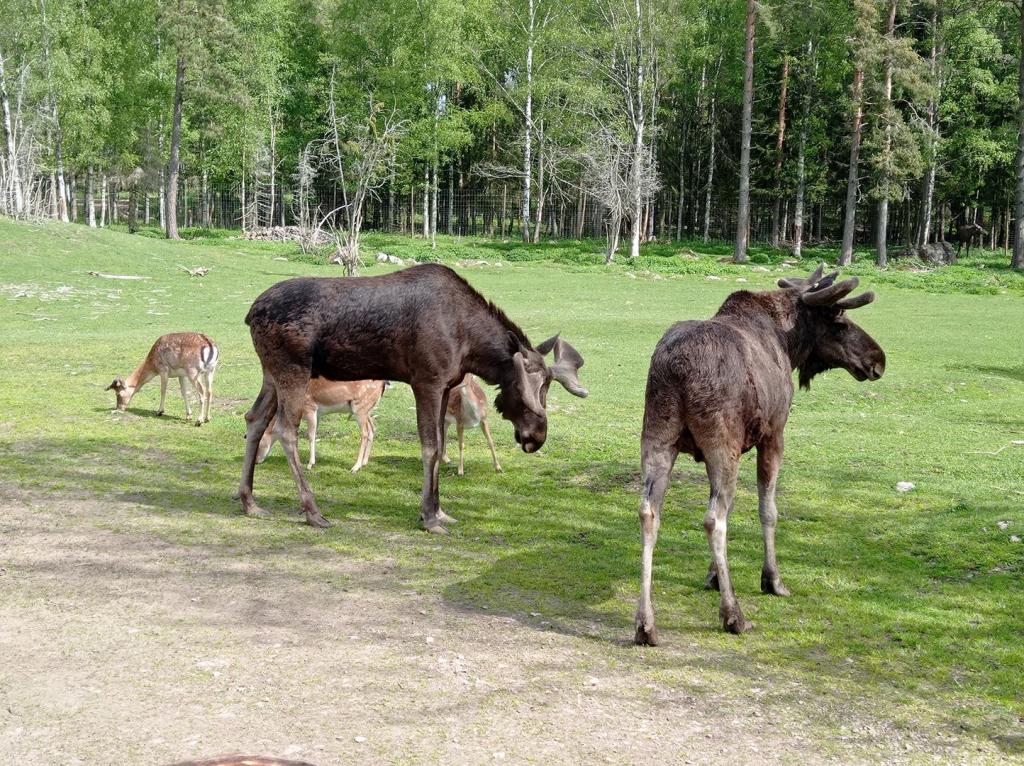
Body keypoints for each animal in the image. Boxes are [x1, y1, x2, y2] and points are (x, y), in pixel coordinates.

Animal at [256, 376, 387, 473]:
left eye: (259, 441)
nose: (257, 461)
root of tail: (383, 384)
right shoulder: (317, 414)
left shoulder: (310, 408)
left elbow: (310, 436)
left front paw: (310, 464)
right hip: (367, 410)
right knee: (373, 428)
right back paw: (364, 463)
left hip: (360, 407)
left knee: (364, 433)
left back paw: (355, 467)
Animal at [634, 266, 884, 643]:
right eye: (840, 320)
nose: (878, 359)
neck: (788, 345)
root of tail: (676, 370)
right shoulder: (774, 434)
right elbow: (768, 510)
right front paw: (772, 579)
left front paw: (713, 575)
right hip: (720, 441)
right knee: (714, 519)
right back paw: (733, 615)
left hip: (658, 437)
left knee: (649, 512)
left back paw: (645, 623)